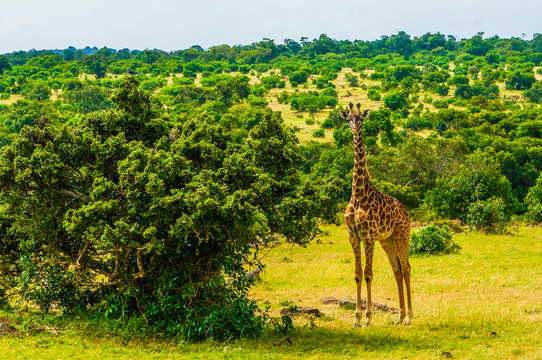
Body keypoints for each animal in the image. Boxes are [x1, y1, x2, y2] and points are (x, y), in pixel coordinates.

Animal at [342, 102, 414, 328]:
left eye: (361, 119)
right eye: (348, 119)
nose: (355, 130)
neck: (358, 194)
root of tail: (406, 212)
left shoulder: (368, 236)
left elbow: (368, 274)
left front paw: (367, 318)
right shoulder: (353, 236)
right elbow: (357, 275)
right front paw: (356, 319)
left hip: (401, 235)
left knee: (406, 268)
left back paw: (409, 317)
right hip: (387, 240)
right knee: (397, 270)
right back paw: (399, 316)